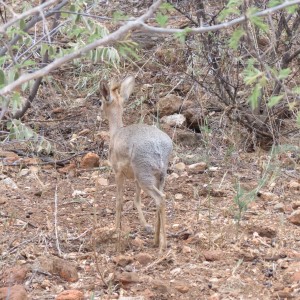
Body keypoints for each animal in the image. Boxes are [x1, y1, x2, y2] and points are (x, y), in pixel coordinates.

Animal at [99, 75, 172, 251]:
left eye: (100, 101)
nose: (99, 110)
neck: (115, 133)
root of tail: (159, 145)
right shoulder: (134, 179)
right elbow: (136, 200)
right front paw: (146, 226)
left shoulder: (118, 173)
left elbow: (119, 201)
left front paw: (115, 230)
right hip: (159, 176)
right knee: (160, 200)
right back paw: (155, 240)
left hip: (145, 177)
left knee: (160, 199)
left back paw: (163, 245)